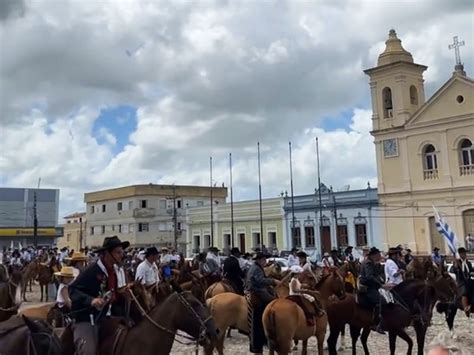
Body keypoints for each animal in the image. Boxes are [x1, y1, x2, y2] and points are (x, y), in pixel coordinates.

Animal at [328, 274, 458, 354]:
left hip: (361, 326)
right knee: (332, 342)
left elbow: (410, 343)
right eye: (450, 282)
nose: (456, 296)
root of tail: (333, 299)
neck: (402, 301)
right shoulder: (396, 330)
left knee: (360, 339)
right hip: (337, 325)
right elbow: (397, 347)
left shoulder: (400, 329)